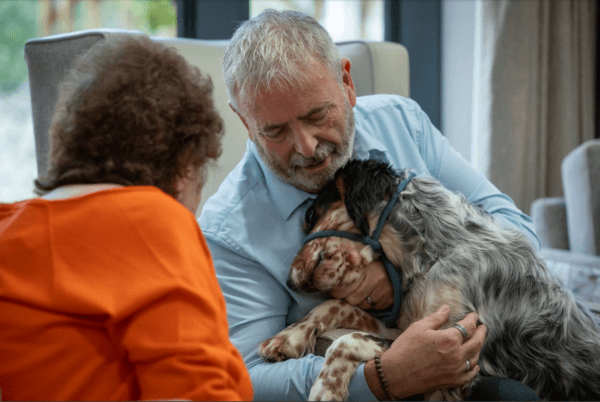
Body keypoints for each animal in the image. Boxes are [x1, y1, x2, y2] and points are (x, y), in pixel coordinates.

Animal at [260, 159, 600, 400]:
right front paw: (288, 337)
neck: (436, 253)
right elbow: (334, 307)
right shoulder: (411, 330)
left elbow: (345, 339)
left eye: (311, 215)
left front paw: (325, 390)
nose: (289, 282)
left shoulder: (456, 355)